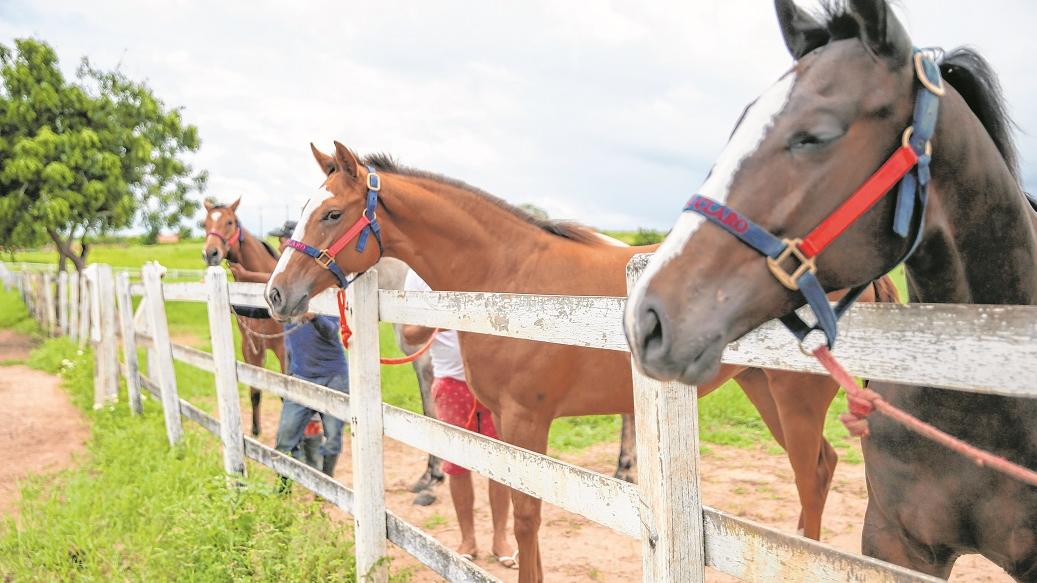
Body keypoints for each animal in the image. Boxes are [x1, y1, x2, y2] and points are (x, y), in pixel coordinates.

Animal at [201, 197, 286, 433]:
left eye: (230, 222)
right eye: (204, 224)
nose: (210, 253)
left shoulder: (282, 348)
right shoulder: (250, 346)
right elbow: (255, 390)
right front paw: (255, 431)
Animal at [263, 142, 895, 580]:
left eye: (332, 215)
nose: (275, 294)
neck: (508, 278)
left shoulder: (527, 419)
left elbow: (526, 515)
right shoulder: (500, 421)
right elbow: (513, 504)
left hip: (794, 398)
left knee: (810, 477)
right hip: (763, 390)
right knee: (823, 467)